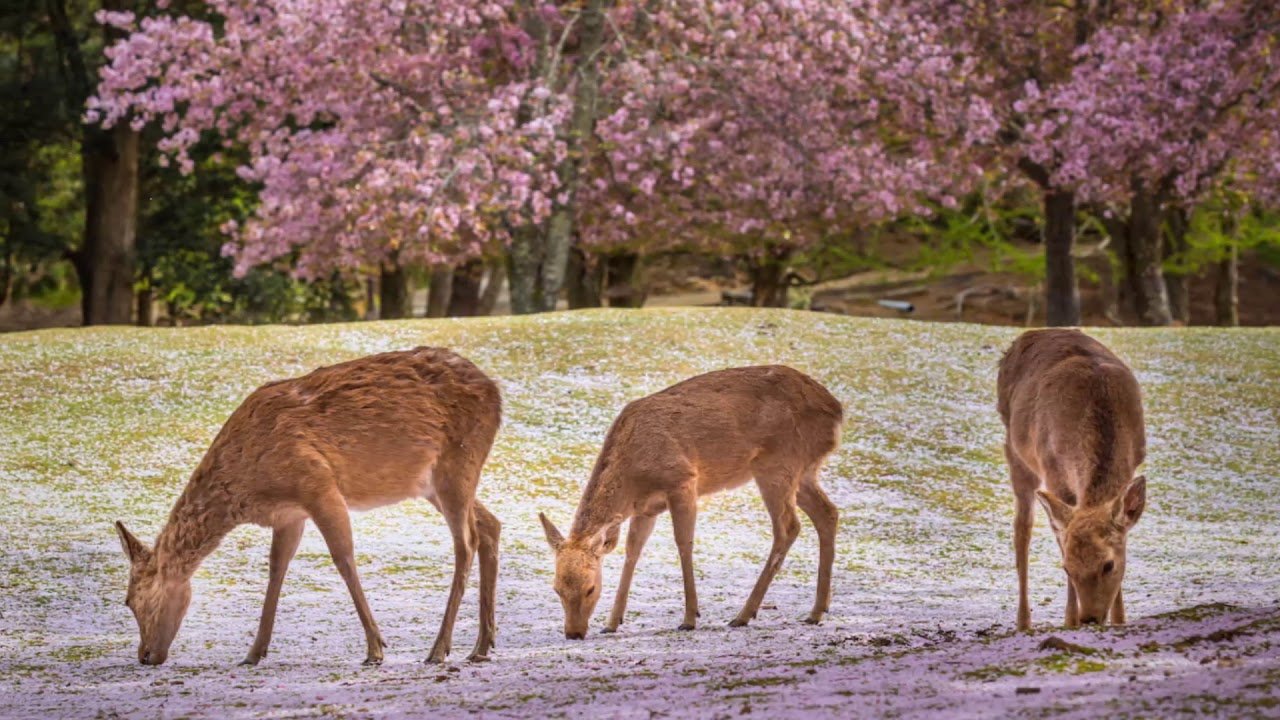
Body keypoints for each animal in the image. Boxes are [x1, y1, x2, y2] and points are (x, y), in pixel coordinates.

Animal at [111, 345, 499, 666]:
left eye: (129, 600)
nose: (144, 655)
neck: (248, 487)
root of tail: (496, 393)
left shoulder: (317, 483)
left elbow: (343, 558)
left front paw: (375, 648)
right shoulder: (288, 514)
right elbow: (276, 569)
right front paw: (253, 653)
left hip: (457, 464)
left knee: (466, 541)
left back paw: (439, 649)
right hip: (433, 482)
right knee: (490, 524)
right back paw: (481, 646)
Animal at [537, 363, 839, 638]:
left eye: (590, 588)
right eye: (556, 588)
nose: (574, 633)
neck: (633, 478)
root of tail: (837, 411)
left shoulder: (682, 481)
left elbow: (684, 543)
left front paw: (689, 618)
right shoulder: (645, 508)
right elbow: (633, 551)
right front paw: (612, 623)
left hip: (777, 464)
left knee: (788, 526)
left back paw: (743, 615)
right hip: (803, 470)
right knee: (828, 512)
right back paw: (816, 611)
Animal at [998, 327, 1152, 630]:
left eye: (1109, 565)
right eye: (1067, 569)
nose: (1089, 618)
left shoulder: (1134, 461)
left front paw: (1120, 620)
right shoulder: (1054, 470)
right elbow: (1060, 535)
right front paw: (1069, 621)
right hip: (1016, 451)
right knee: (1023, 528)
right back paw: (1024, 622)